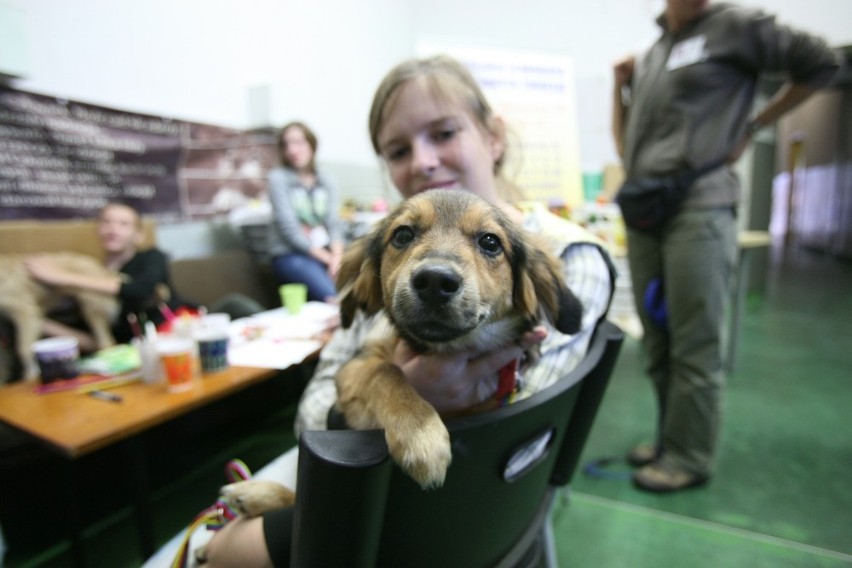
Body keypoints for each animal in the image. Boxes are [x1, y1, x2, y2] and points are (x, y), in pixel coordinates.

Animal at [0, 252, 117, 382]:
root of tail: (103, 270)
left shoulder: (25, 313)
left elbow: (23, 349)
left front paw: (31, 376)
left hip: (91, 308)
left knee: (106, 341)